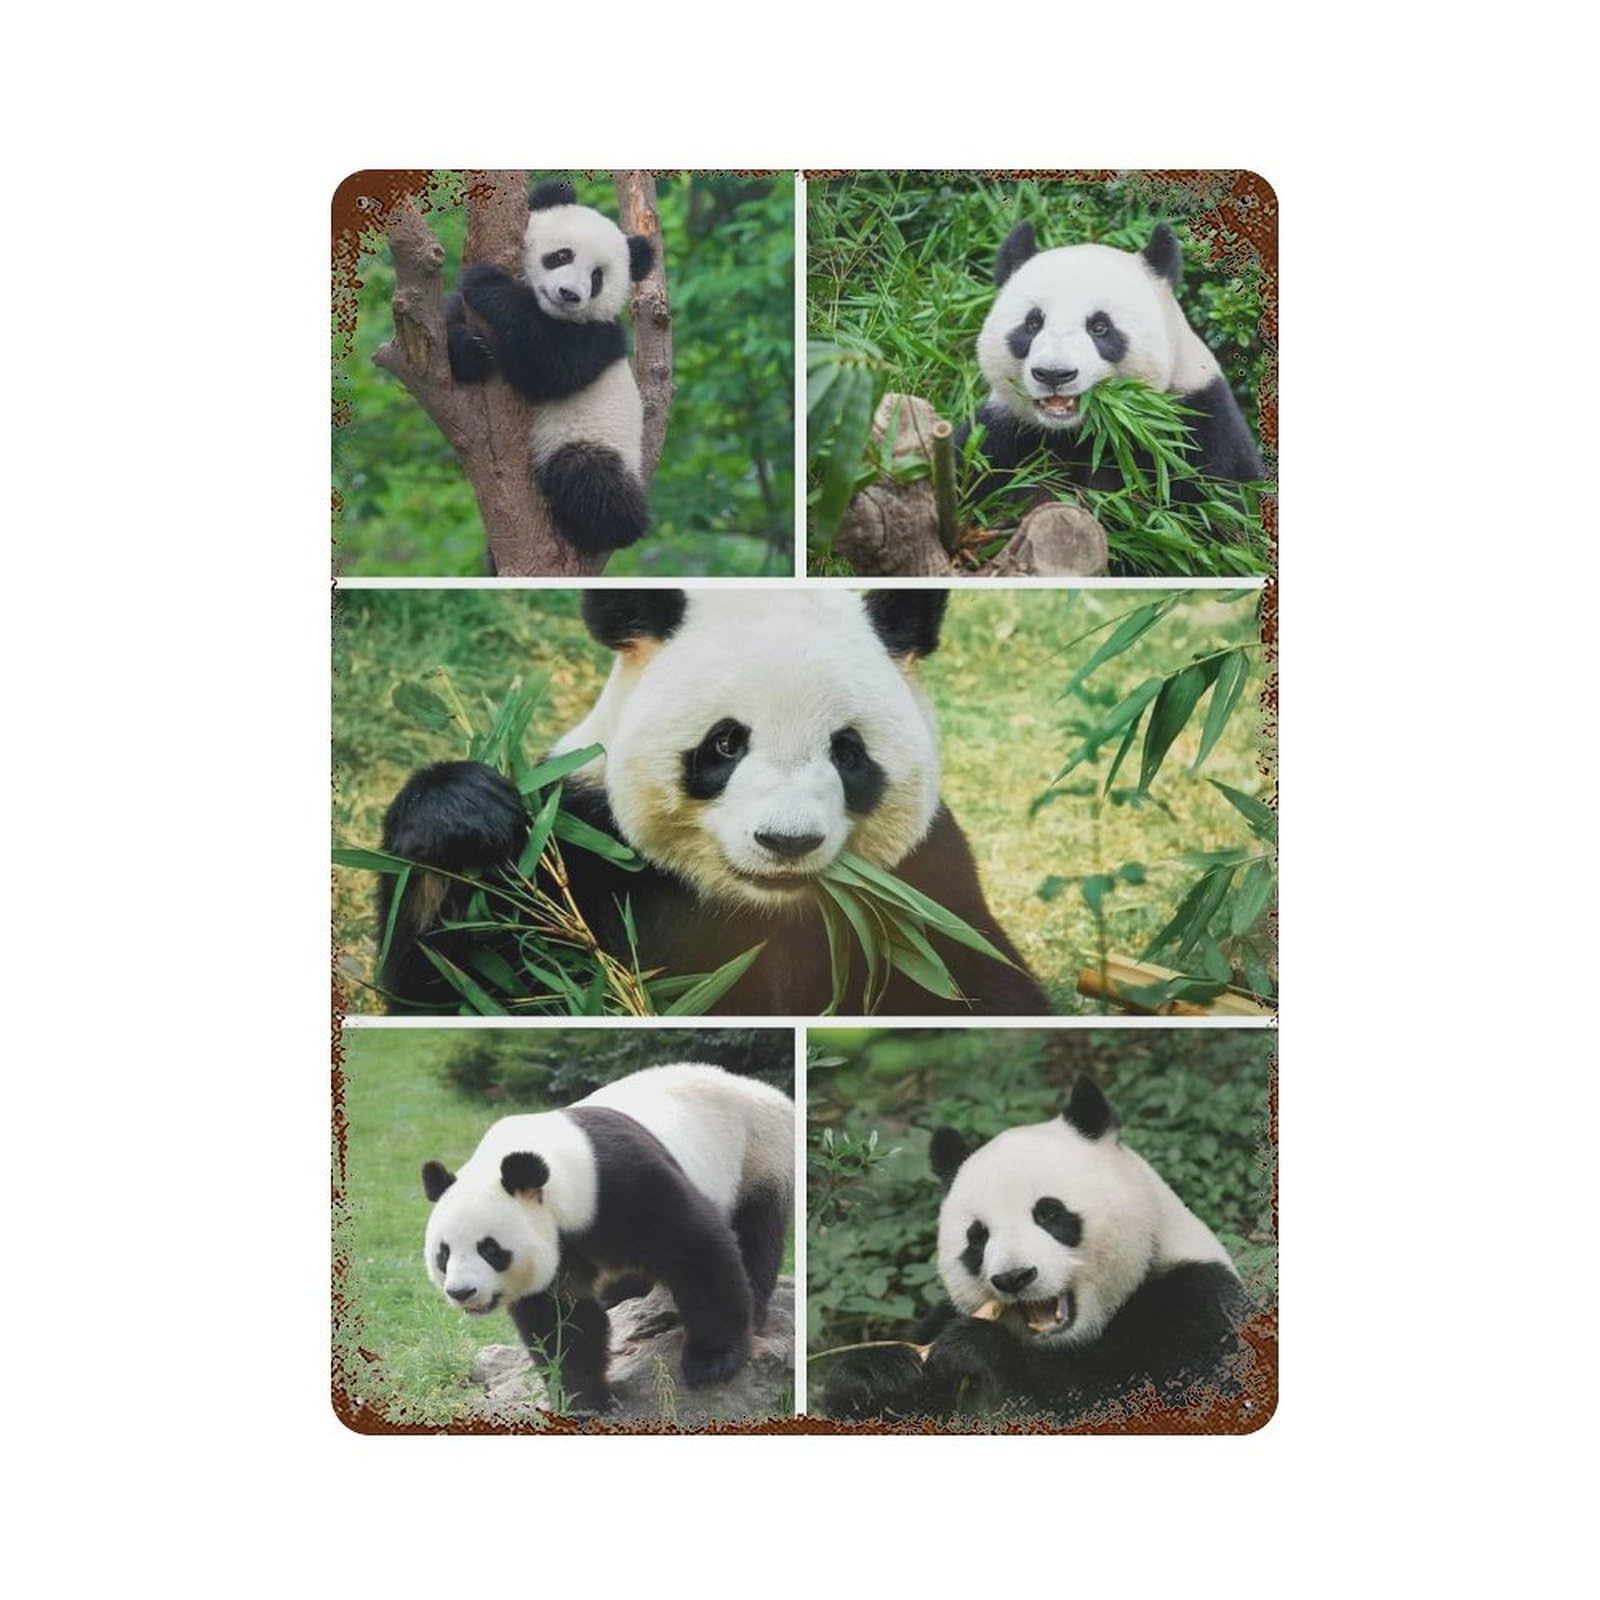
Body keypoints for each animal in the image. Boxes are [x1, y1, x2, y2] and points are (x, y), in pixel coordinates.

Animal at [376, 588, 1049, 1017]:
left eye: (848, 752)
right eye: (726, 743)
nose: (786, 842)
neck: (761, 908)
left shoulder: (921, 884)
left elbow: (983, 989)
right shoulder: (581, 844)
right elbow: (469, 981)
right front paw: (460, 819)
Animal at [422, 1063, 794, 1414]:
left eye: (491, 1249)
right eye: (443, 1254)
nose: (462, 1292)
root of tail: (761, 1088)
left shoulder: (622, 1183)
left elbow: (697, 1250)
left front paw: (712, 1362)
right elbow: (561, 1320)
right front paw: (585, 1400)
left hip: (758, 1155)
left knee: (753, 1236)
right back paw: (619, 1295)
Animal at [445, 177, 656, 554]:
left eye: (597, 277)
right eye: (561, 256)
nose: (569, 294)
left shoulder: (598, 337)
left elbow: (550, 367)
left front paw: (488, 284)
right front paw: (471, 350)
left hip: (595, 440)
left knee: (590, 477)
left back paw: (601, 528)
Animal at [822, 1077, 1250, 1425]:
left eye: (1049, 1213)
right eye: (977, 1237)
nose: (1014, 1277)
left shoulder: (1196, 1304)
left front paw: (979, 1350)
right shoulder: (941, 1318)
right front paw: (876, 1375)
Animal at [957, 220, 1264, 518]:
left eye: (1100, 327)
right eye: (1032, 324)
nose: (1054, 374)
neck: (1082, 433)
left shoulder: (1195, 424)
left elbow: (1220, 501)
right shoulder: (1004, 434)